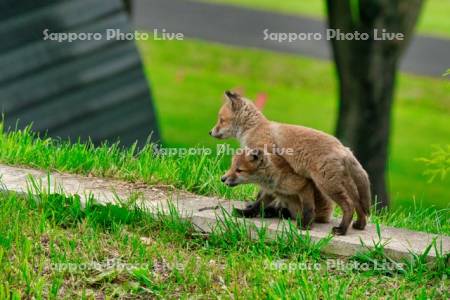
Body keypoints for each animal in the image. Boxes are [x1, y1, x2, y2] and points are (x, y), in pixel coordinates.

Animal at [209, 90, 370, 236]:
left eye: (221, 120)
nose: (210, 132)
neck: (254, 129)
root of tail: (344, 148)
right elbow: (264, 194)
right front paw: (254, 208)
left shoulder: (271, 160)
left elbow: (264, 191)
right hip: (343, 184)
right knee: (358, 204)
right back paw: (359, 225)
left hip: (327, 184)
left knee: (348, 205)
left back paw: (341, 230)